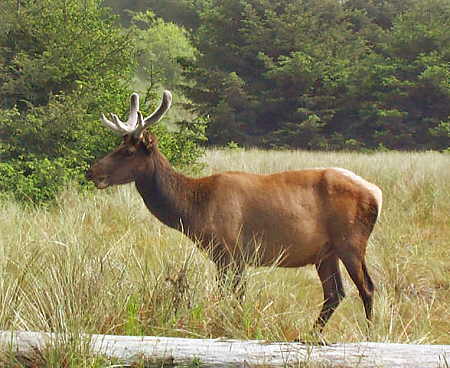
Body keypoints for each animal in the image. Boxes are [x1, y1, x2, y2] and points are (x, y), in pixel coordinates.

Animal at [87, 91, 384, 330]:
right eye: (118, 145)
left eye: (128, 152)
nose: (92, 171)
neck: (195, 208)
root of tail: (376, 193)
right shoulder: (228, 256)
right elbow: (234, 296)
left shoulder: (230, 250)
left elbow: (232, 296)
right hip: (325, 253)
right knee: (335, 294)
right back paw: (312, 335)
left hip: (351, 241)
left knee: (367, 288)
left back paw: (369, 333)